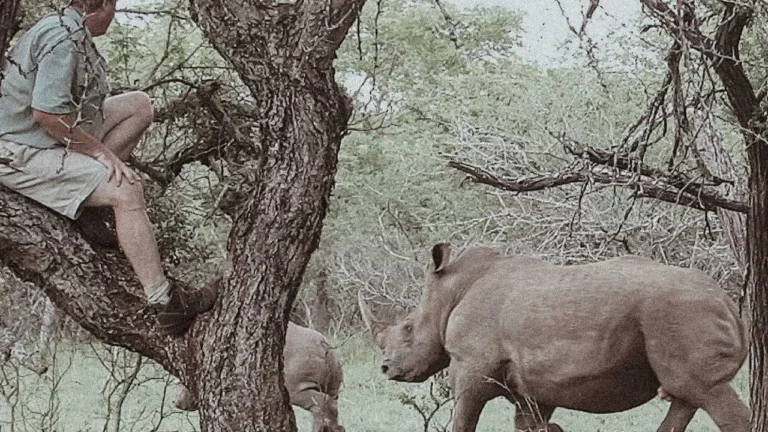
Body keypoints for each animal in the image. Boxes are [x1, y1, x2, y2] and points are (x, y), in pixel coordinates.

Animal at [175, 322, 345, 432]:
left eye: (185, 380)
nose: (177, 402)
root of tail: (324, 345)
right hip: (333, 385)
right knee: (331, 407)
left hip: (297, 388)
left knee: (323, 403)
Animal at [358, 243, 749, 432]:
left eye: (408, 329)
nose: (386, 369)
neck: (448, 292)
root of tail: (729, 303)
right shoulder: (531, 385)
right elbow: (532, 425)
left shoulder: (471, 366)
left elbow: (463, 419)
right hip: (683, 315)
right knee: (688, 394)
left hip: (679, 312)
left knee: (704, 390)